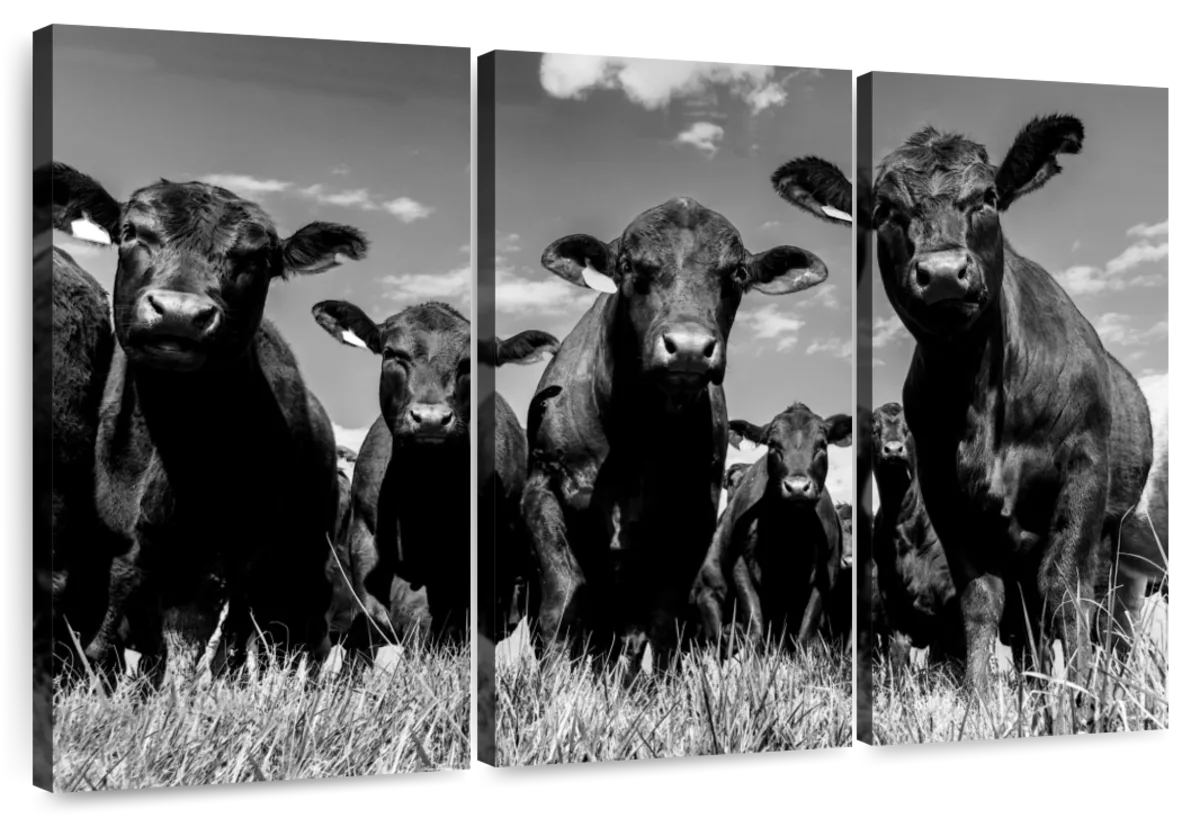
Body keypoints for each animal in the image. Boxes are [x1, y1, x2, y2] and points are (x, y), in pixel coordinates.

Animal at [49, 163, 367, 691]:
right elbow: (117, 624)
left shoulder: (230, 552)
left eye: (259, 258)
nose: (179, 312)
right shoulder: (115, 540)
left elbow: (198, 641)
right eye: (130, 232)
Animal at [521, 196, 832, 682]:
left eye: (736, 273)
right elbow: (564, 596)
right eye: (628, 265)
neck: (636, 433)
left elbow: (662, 620)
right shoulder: (542, 489)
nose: (688, 347)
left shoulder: (693, 516)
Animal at [693, 404, 853, 654]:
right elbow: (755, 622)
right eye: (773, 444)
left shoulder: (827, 571)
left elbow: (807, 630)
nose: (797, 487)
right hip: (708, 589)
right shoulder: (740, 565)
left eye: (822, 445)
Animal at [775, 117, 1156, 726]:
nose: (943, 274)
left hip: (1116, 538)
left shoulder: (1083, 472)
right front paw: (980, 706)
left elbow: (1067, 591)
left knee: (1101, 616)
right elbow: (980, 601)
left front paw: (1080, 704)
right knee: (1028, 629)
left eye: (989, 197)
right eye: (884, 210)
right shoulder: (948, 496)